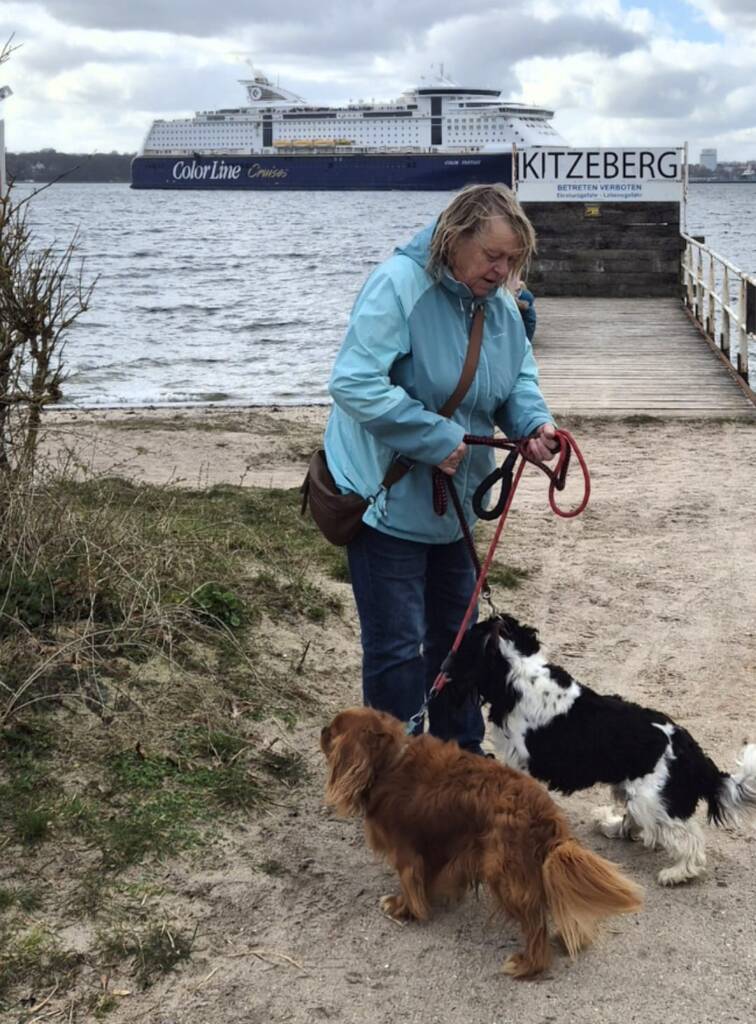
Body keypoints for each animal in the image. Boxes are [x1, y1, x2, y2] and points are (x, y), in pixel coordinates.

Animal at [320, 706, 642, 978]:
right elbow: (429, 879)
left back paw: (527, 964)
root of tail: (545, 813)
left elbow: (411, 885)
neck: (389, 761)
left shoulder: (407, 852)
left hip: (504, 872)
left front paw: (402, 907)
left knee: (534, 923)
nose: (322, 730)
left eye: (334, 731)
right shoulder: (435, 849)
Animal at [447, 614, 756, 886]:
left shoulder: (522, 766)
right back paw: (612, 825)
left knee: (688, 839)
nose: (447, 662)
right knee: (640, 824)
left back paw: (677, 873)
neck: (516, 673)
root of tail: (694, 756)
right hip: (633, 790)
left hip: (652, 800)